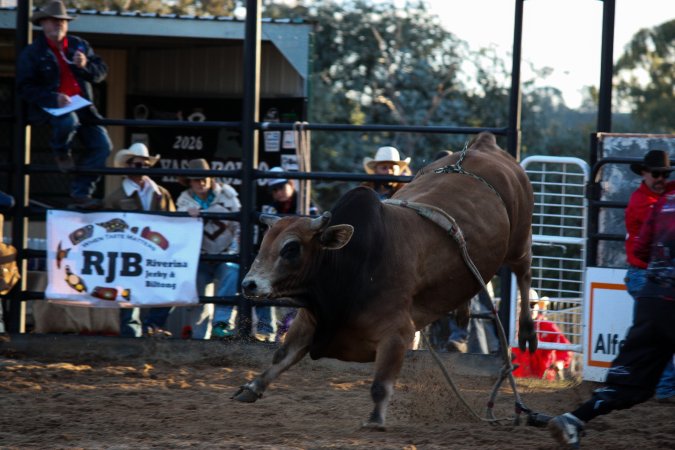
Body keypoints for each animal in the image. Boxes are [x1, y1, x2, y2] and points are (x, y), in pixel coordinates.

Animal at [234, 132, 537, 429]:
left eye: (291, 248)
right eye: (264, 243)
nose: (249, 284)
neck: (353, 264)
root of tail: (485, 143)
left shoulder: (397, 333)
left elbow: (380, 384)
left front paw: (375, 420)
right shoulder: (310, 319)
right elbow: (282, 356)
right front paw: (252, 387)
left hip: (519, 241)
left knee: (524, 274)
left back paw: (527, 333)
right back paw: (463, 313)